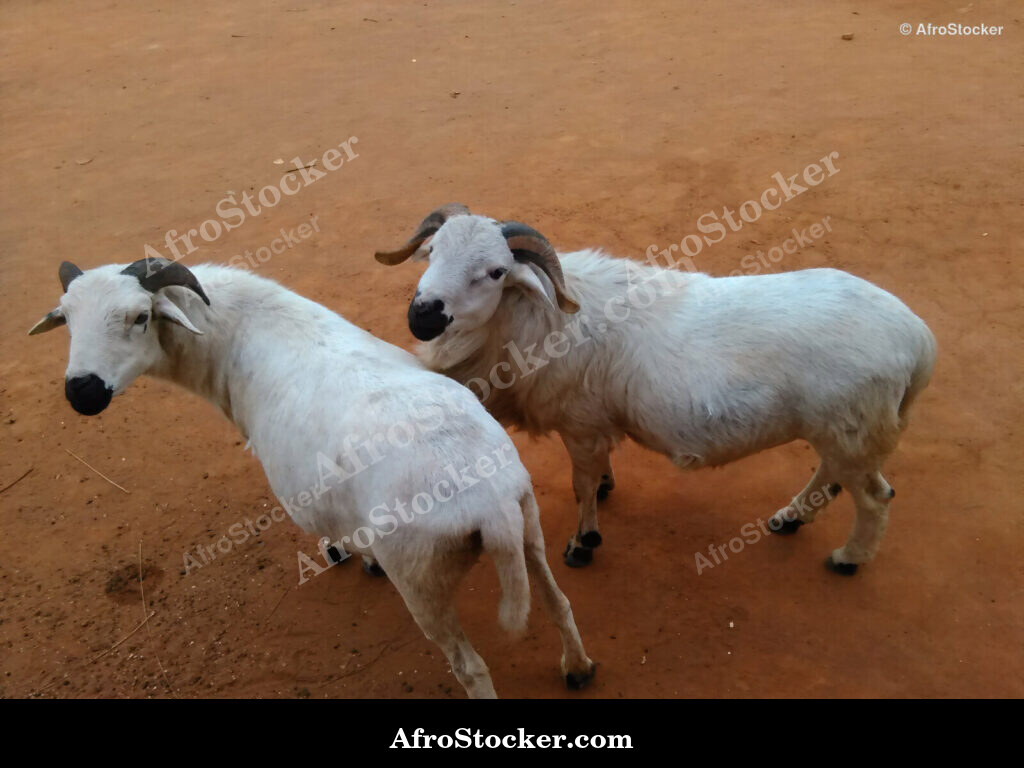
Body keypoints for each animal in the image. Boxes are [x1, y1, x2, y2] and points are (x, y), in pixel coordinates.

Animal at [27, 256, 595, 698]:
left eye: (140, 317)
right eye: (67, 320)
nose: (83, 392)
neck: (232, 336)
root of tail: (490, 503)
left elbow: (333, 530)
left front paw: (344, 553)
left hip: (420, 579)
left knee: (471, 668)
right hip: (527, 522)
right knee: (560, 602)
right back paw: (579, 668)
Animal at [375, 204, 937, 574]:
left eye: (495, 272)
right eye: (430, 251)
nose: (424, 316)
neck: (540, 316)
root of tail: (919, 340)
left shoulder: (579, 422)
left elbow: (581, 486)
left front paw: (583, 543)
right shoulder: (595, 422)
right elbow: (598, 472)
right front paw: (607, 487)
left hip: (852, 426)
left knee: (875, 498)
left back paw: (848, 558)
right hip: (841, 428)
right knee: (832, 476)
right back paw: (790, 518)